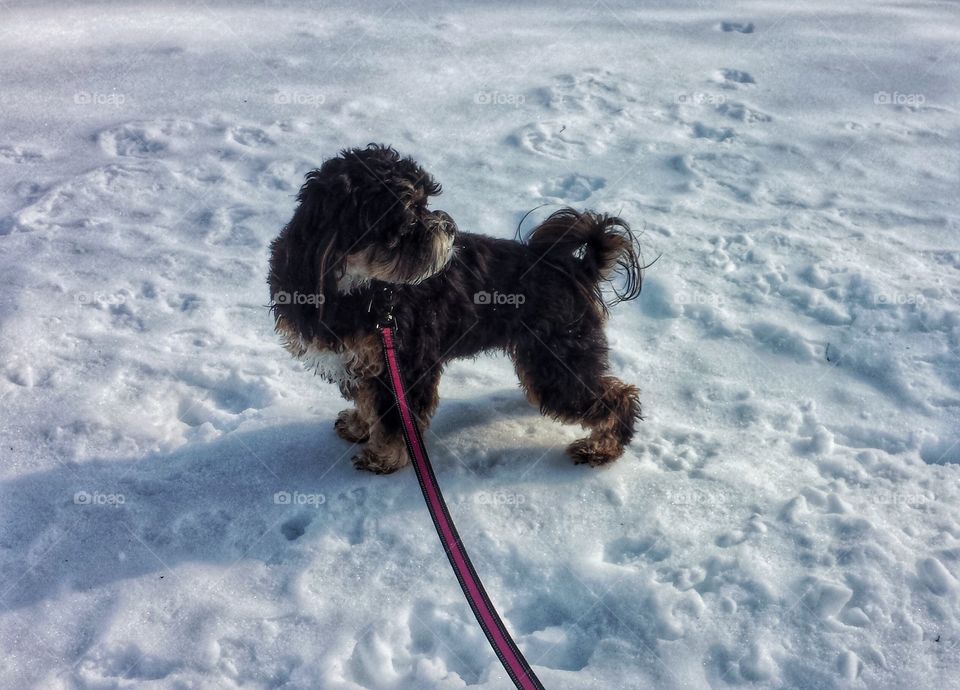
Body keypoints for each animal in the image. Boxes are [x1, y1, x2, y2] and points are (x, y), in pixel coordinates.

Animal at [268, 142, 644, 470]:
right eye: (409, 217)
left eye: (425, 204)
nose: (449, 225)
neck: (355, 286)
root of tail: (575, 268)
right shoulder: (365, 361)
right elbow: (369, 402)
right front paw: (360, 427)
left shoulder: (405, 365)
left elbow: (394, 419)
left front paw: (384, 458)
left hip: (556, 359)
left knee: (618, 396)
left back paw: (602, 448)